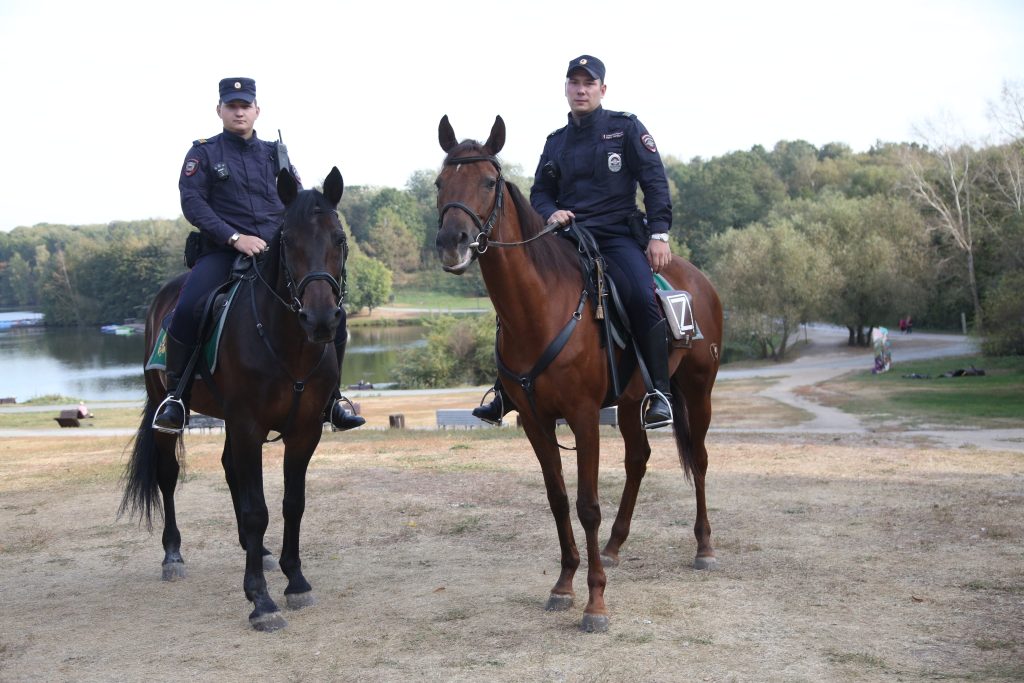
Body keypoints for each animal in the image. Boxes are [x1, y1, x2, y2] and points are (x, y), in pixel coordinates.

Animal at [120, 167, 348, 634]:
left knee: (229, 471)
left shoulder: (303, 432)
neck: (288, 343)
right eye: (288, 241)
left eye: (338, 238)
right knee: (168, 476)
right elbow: (257, 509)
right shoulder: (248, 425)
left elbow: (292, 504)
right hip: (167, 408)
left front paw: (295, 580)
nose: (320, 319)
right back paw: (173, 555)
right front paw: (260, 599)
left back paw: (254, 549)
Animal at [436, 114, 724, 634]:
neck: (539, 309)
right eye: (438, 183)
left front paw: (595, 603)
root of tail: (699, 280)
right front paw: (564, 584)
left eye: (488, 181)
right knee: (638, 459)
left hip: (698, 390)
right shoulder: (535, 421)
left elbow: (587, 504)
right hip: (631, 402)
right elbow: (557, 498)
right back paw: (613, 546)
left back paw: (705, 546)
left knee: (700, 460)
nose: (452, 243)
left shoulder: (585, 417)